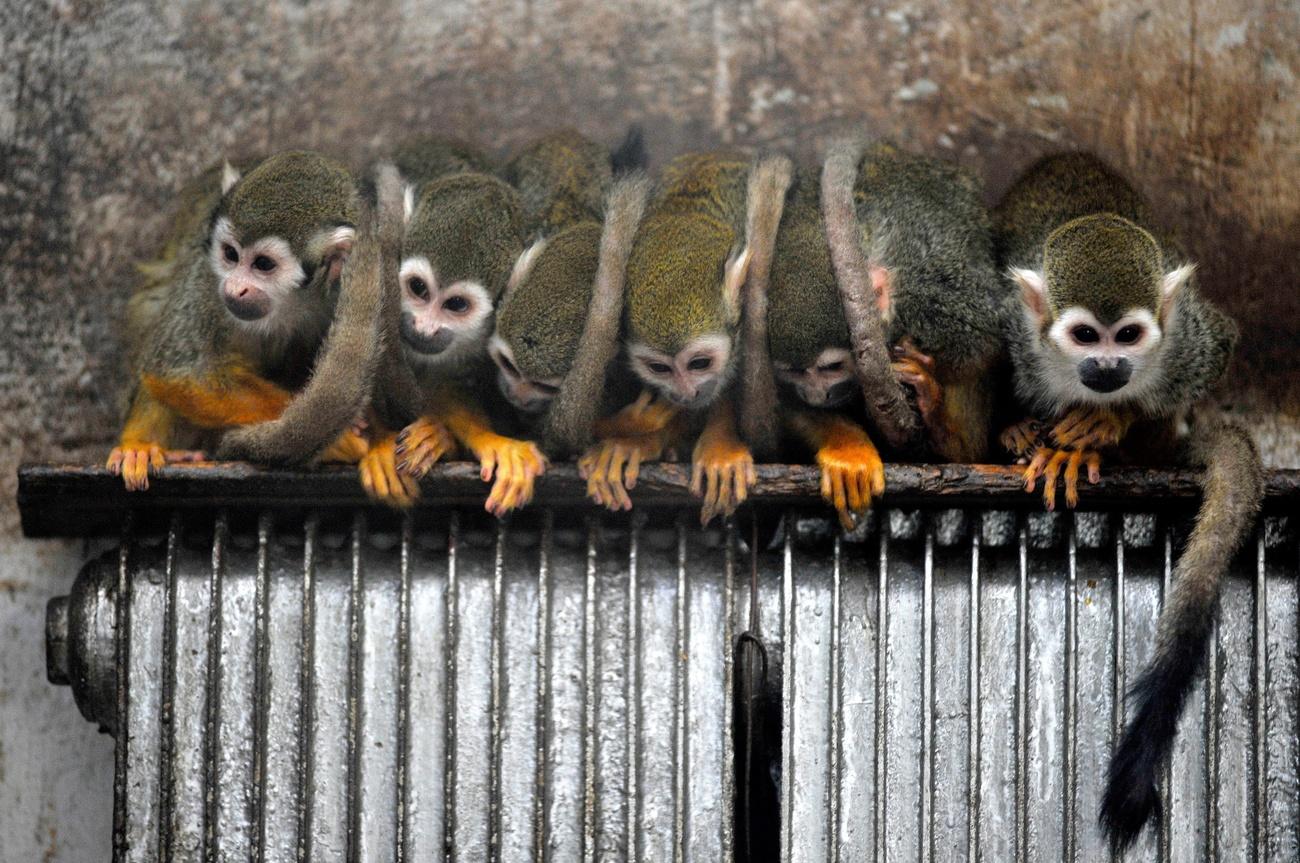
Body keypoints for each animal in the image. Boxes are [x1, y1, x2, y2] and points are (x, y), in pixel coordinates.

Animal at [109, 151, 382, 488]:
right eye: (230, 254)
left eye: (263, 264)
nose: (234, 287)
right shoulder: (207, 278)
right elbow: (181, 370)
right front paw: (338, 438)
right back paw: (139, 445)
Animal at [993, 151, 1258, 847]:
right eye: (1088, 335)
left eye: (1129, 335)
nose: (1109, 370)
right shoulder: (1014, 331)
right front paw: (1017, 429)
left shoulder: (1185, 335)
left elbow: (1222, 343)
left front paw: (1113, 424)